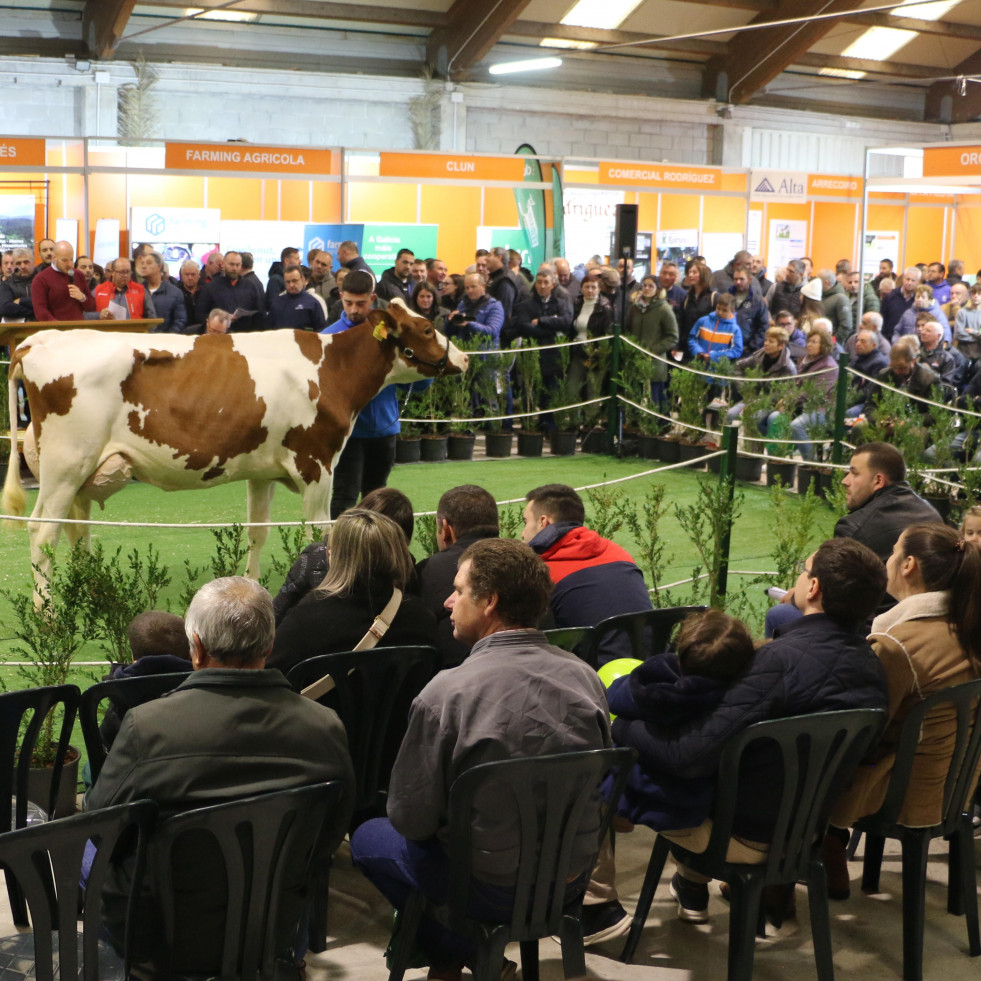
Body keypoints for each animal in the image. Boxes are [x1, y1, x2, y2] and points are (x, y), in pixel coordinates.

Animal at [1, 296, 468, 588]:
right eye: (427, 327)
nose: (463, 358)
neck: (330, 369)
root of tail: (38, 339)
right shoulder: (317, 463)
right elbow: (321, 531)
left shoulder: (261, 471)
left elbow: (258, 531)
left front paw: (250, 583)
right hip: (65, 465)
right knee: (43, 533)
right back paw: (48, 616)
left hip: (77, 471)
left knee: (76, 530)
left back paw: (84, 591)